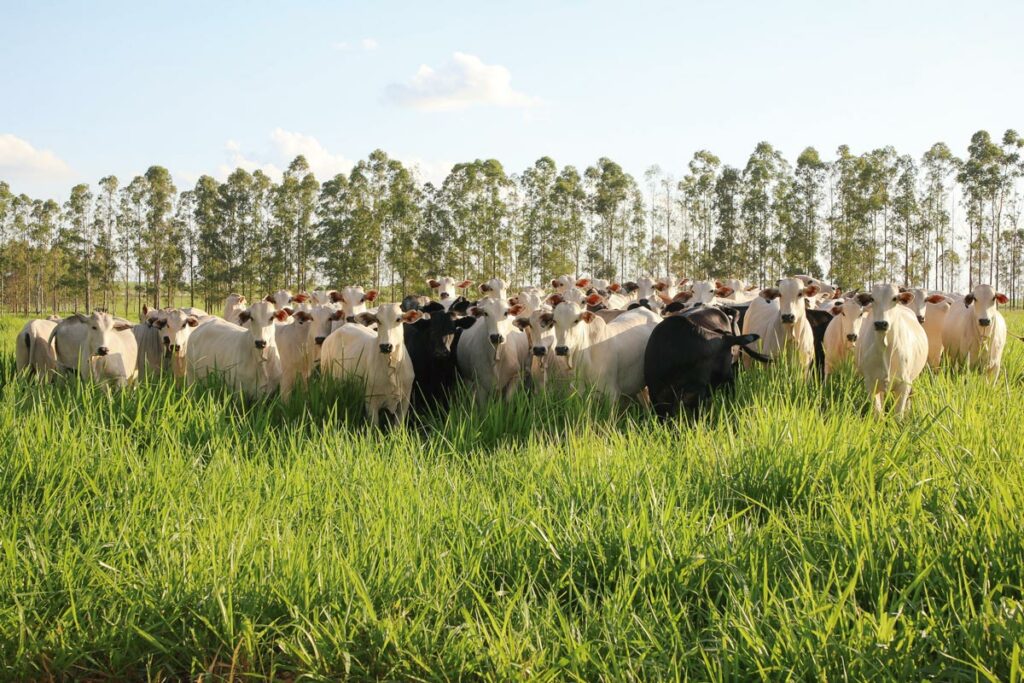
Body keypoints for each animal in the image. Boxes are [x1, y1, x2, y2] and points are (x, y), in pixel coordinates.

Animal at [856, 284, 929, 417]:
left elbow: (898, 415)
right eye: (872, 298)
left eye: (894, 298)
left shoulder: (904, 385)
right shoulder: (871, 384)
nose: (881, 324)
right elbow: (877, 414)